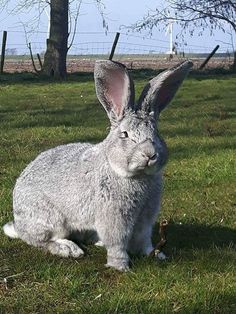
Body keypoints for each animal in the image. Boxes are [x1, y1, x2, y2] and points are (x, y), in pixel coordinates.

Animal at [2, 60, 193, 272]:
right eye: (125, 134)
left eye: (156, 132)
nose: (150, 154)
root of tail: (19, 224)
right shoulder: (113, 218)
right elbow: (117, 243)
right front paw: (121, 266)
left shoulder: (145, 219)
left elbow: (144, 240)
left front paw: (156, 255)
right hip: (49, 219)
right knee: (42, 240)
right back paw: (69, 249)